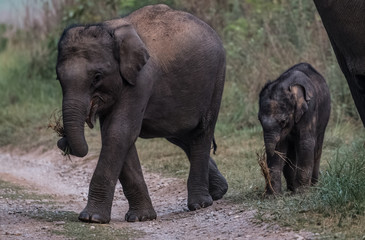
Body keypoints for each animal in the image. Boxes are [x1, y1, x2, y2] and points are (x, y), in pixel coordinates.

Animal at [55, 4, 226, 225]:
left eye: (97, 77)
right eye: (58, 78)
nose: (62, 140)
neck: (108, 28)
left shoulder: (140, 80)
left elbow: (119, 132)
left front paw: (91, 219)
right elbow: (118, 136)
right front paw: (142, 218)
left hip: (216, 78)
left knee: (201, 132)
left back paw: (200, 204)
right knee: (180, 135)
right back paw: (220, 191)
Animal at [258, 62, 330, 194]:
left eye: (283, 121)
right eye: (259, 120)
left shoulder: (309, 109)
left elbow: (305, 143)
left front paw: (302, 192)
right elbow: (279, 146)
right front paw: (273, 195)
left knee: (317, 148)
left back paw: (312, 186)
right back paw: (292, 188)